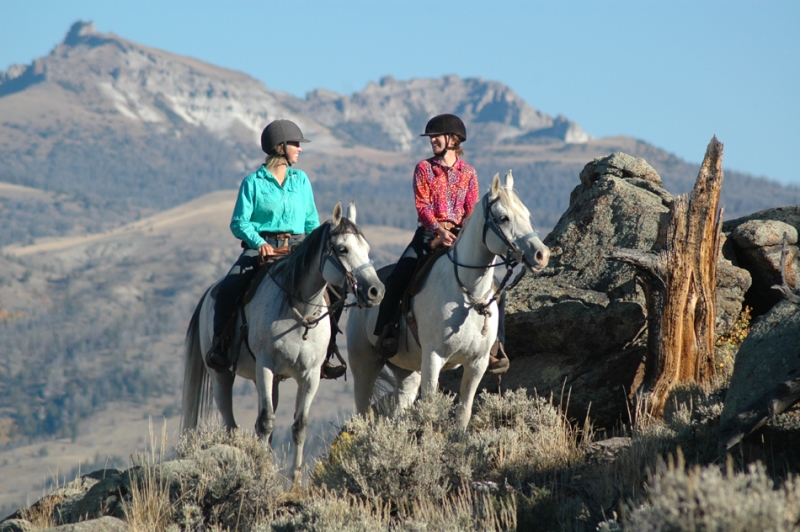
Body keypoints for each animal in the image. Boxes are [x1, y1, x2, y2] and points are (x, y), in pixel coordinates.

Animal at [183, 202, 382, 480]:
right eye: (343, 249)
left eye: (367, 249)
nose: (376, 291)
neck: (296, 310)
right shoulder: (265, 366)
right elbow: (266, 421)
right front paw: (263, 473)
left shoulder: (310, 375)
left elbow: (299, 426)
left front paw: (294, 481)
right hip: (221, 375)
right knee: (232, 425)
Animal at [346, 170, 552, 428]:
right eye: (504, 218)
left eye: (527, 214)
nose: (542, 254)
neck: (468, 294)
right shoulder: (433, 359)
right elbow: (430, 409)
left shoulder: (477, 363)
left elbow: (464, 411)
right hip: (364, 363)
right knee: (363, 409)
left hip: (407, 370)